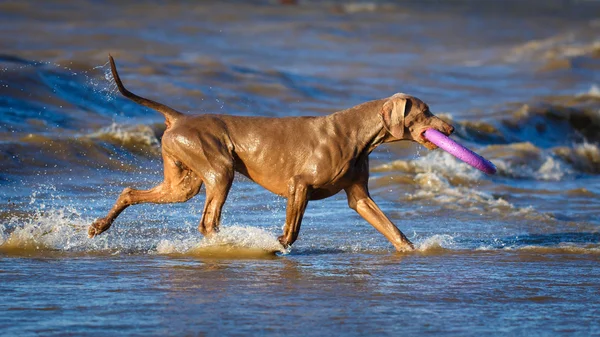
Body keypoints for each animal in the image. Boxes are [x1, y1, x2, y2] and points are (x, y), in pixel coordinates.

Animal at [88, 55, 454, 251]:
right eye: (425, 111)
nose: (450, 129)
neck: (359, 134)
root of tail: (179, 117)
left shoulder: (359, 197)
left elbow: (392, 228)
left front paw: (412, 250)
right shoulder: (299, 185)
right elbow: (292, 230)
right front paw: (276, 243)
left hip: (184, 183)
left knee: (131, 191)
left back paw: (99, 226)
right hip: (219, 168)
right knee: (208, 221)